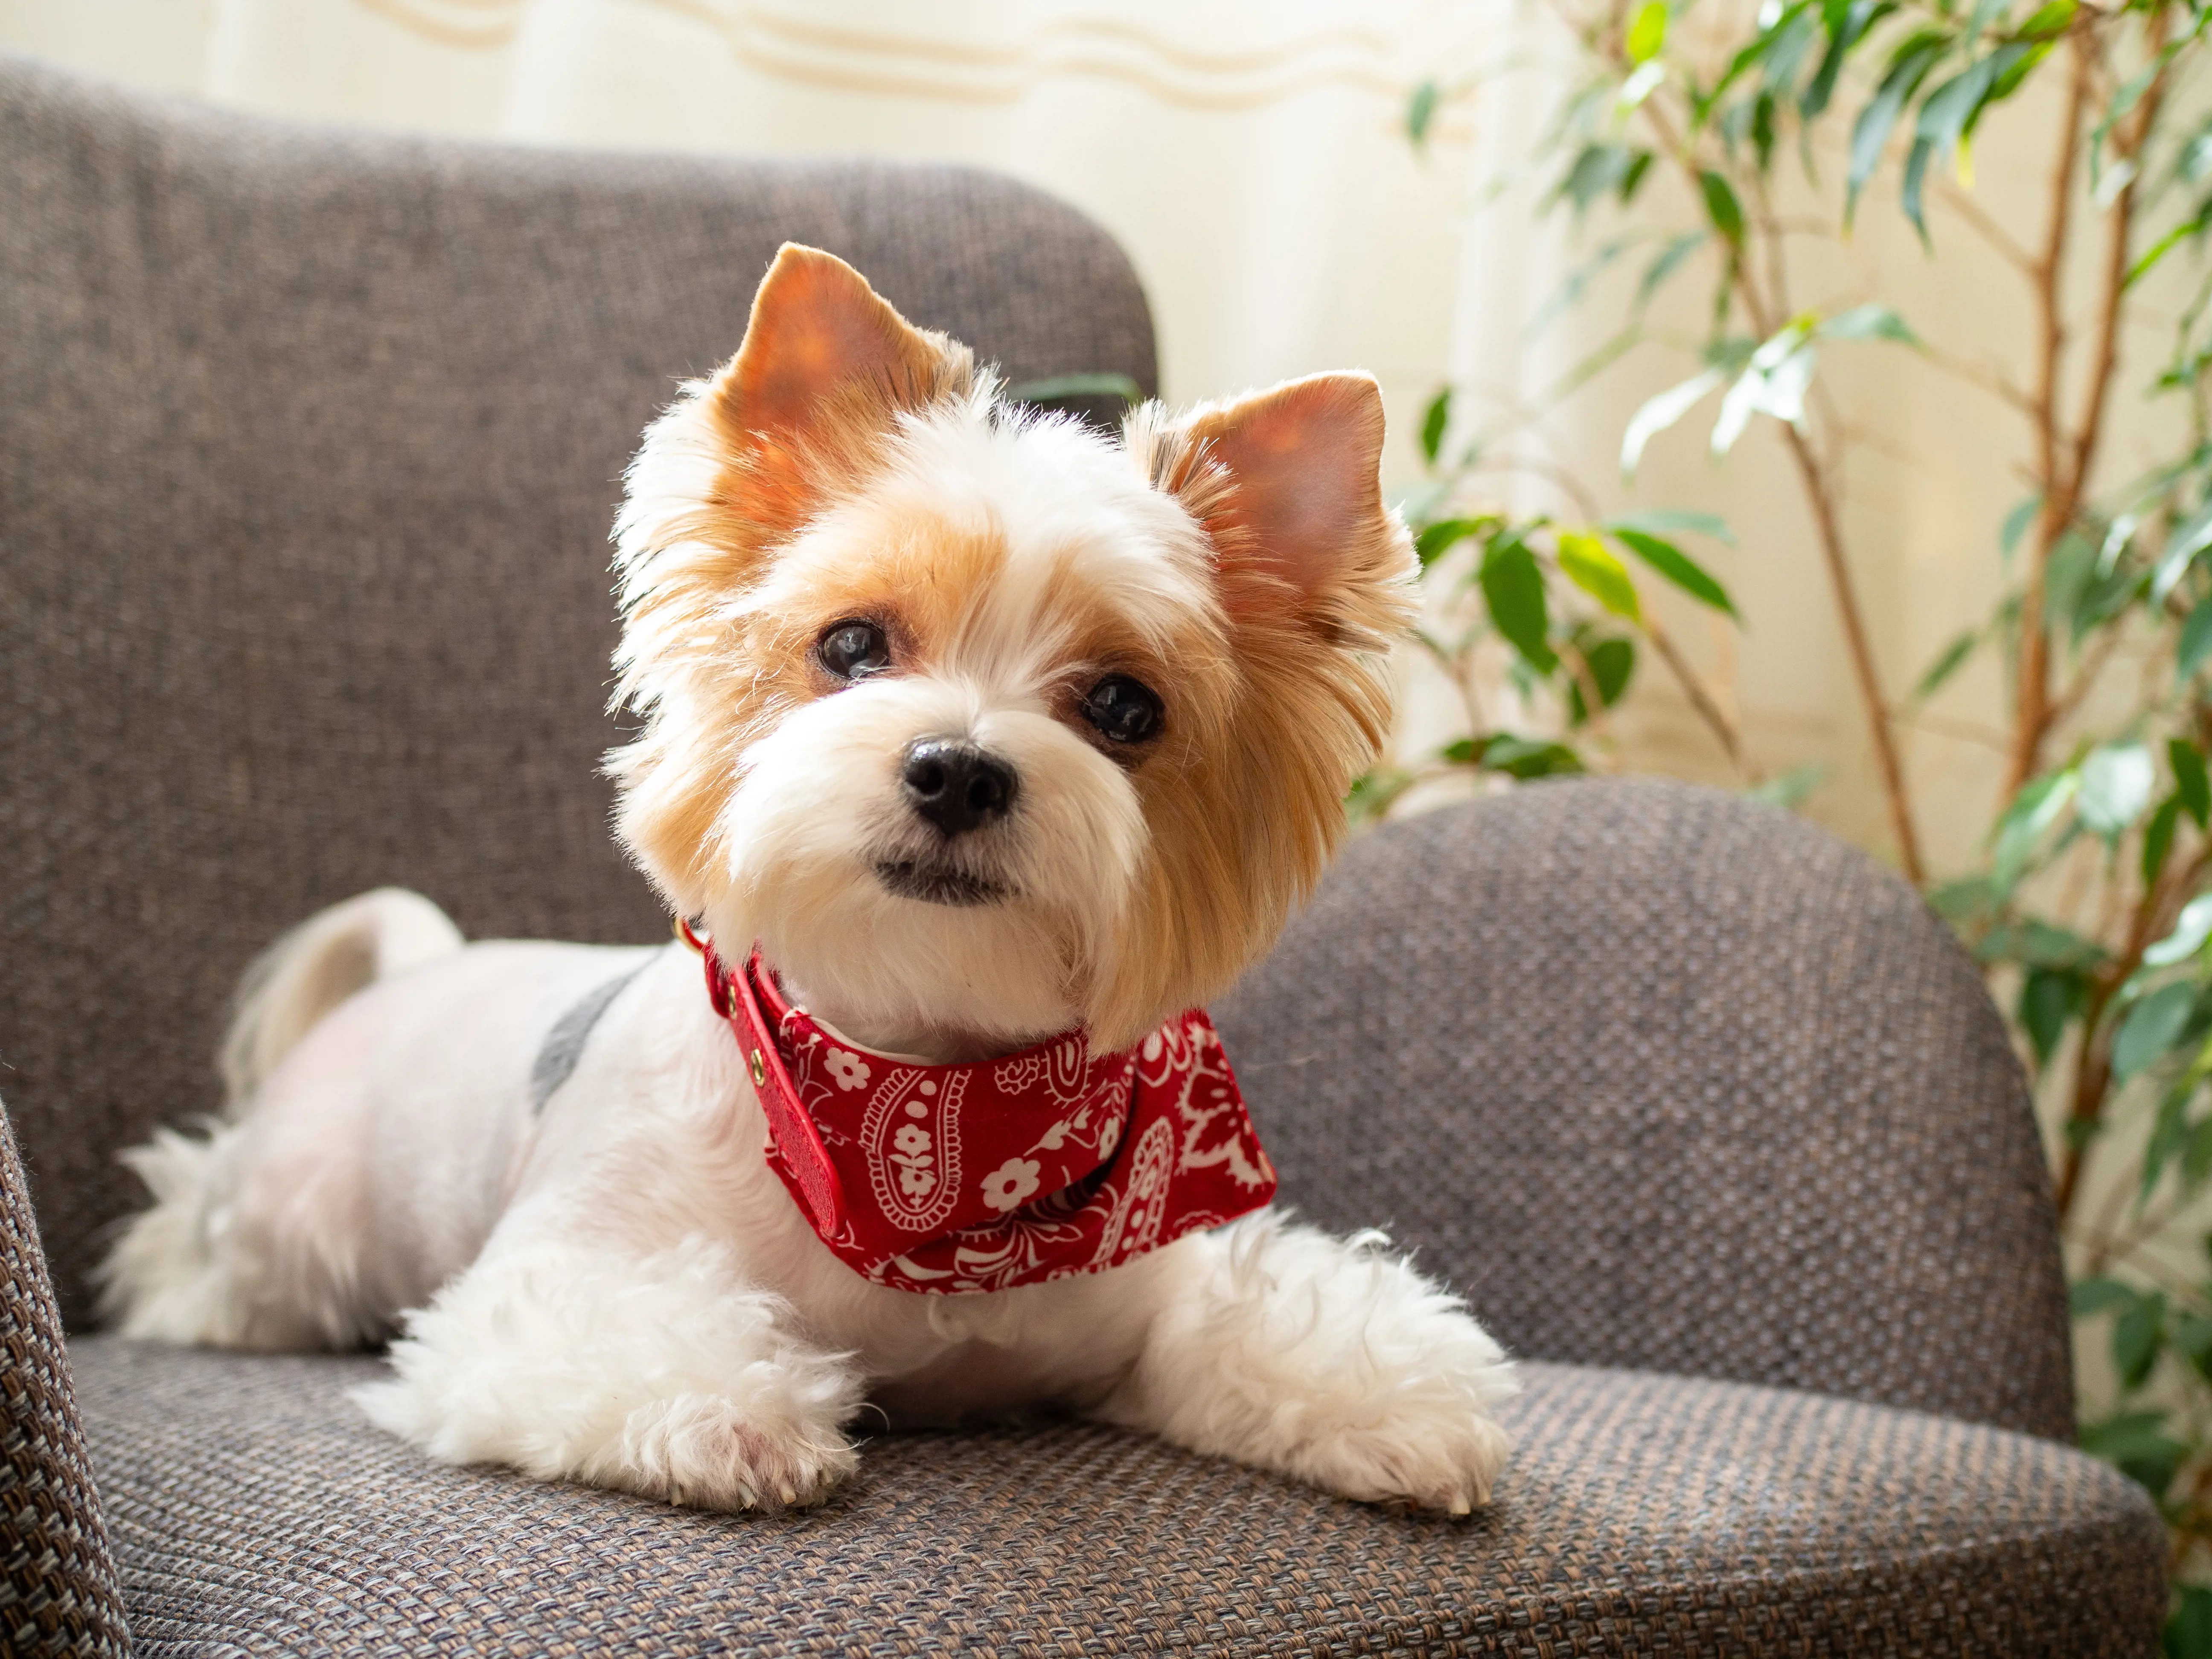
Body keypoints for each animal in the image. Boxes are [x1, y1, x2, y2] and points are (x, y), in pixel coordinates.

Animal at [104, 243, 1522, 1522]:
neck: (932, 1092)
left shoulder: (1142, 1292)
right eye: (851, 645)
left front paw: (1391, 1407)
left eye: (1126, 706)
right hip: (286, 1219)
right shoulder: (547, 1283)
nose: (959, 770)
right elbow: (619, 1338)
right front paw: (736, 1418)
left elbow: (1255, 1321)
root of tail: (429, 961)